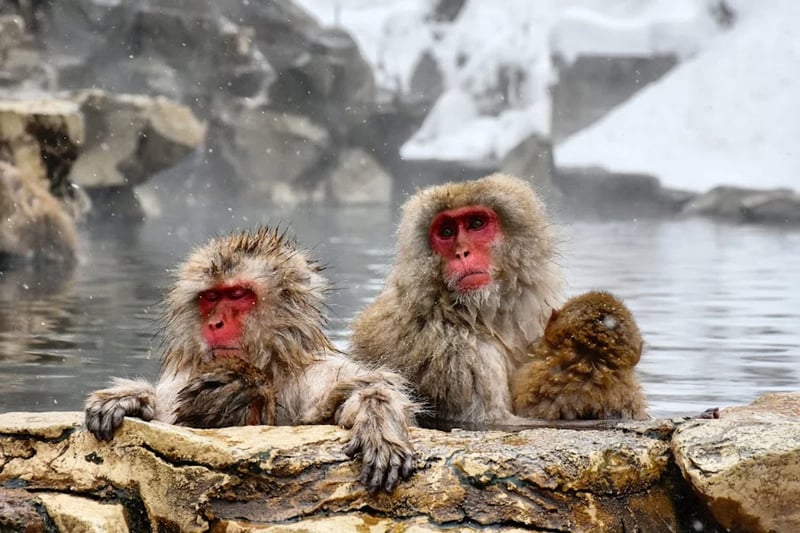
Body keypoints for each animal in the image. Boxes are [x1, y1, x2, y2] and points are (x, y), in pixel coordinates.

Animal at [85, 227, 416, 493]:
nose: (215, 323)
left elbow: (357, 390)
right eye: (210, 297)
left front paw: (378, 424)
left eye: (238, 294)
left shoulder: (319, 374)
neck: (269, 364)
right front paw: (133, 397)